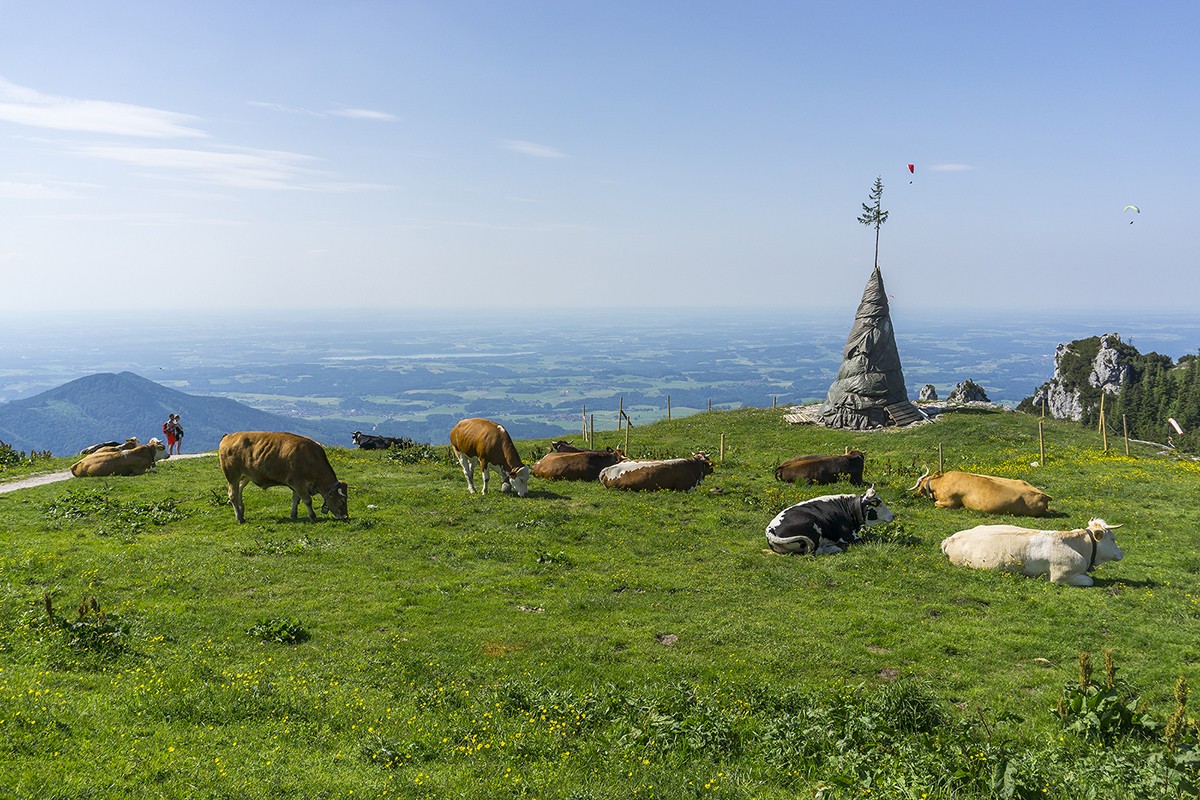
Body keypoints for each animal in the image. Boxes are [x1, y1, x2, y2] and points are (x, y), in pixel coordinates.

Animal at [218, 431, 350, 525]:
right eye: (342, 500)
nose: (345, 517)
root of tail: (229, 436)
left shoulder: (297, 485)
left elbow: (296, 499)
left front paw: (293, 515)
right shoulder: (298, 483)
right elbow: (307, 500)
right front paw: (312, 516)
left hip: (245, 476)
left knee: (239, 491)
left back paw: (241, 512)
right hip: (232, 475)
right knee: (233, 494)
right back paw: (239, 518)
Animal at [763, 489, 897, 556]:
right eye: (878, 503)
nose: (893, 515)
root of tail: (770, 529)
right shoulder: (849, 536)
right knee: (813, 552)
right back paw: (833, 547)